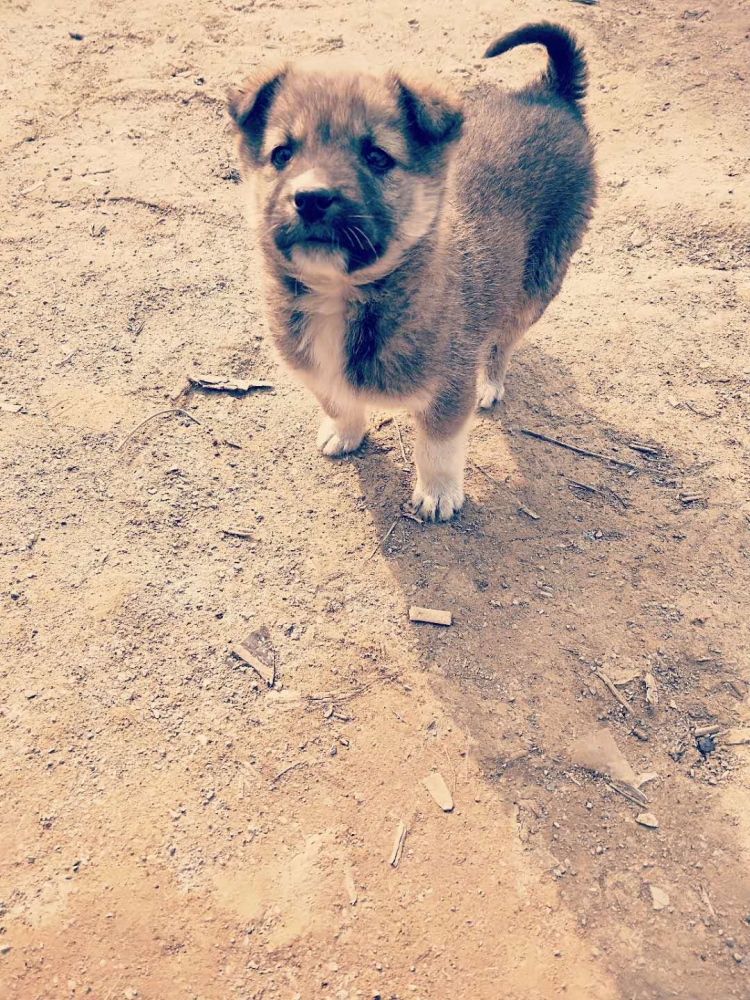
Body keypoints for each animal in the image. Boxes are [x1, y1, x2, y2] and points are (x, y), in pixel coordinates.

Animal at [228, 22, 596, 520]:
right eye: (282, 154)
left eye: (377, 157)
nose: (311, 198)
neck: (341, 294)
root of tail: (548, 94)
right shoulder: (315, 370)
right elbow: (337, 401)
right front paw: (344, 432)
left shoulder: (448, 390)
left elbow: (437, 447)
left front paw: (438, 493)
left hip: (536, 283)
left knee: (502, 340)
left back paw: (490, 382)